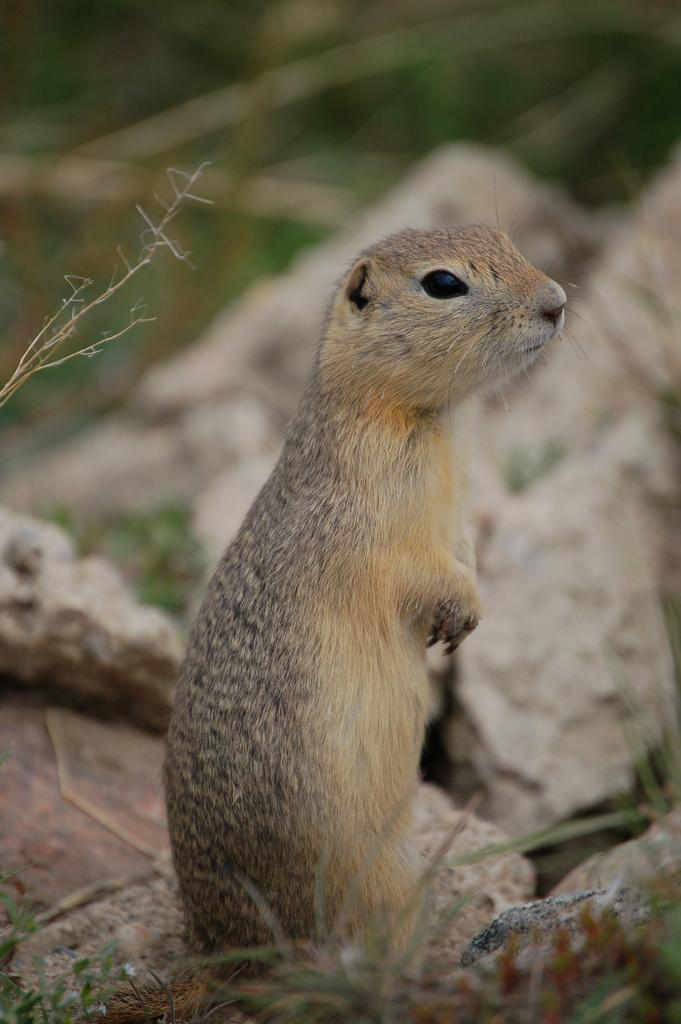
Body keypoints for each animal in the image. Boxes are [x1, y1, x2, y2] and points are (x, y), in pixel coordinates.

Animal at [109, 224, 561, 1015]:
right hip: (380, 881)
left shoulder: (457, 512)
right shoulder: (376, 533)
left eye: (506, 238)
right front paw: (457, 613)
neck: (430, 423)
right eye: (444, 284)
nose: (559, 302)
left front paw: (469, 617)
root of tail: (214, 954)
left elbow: (466, 552)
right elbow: (420, 572)